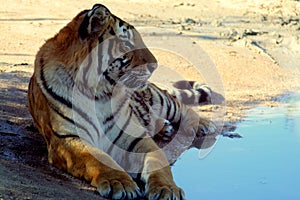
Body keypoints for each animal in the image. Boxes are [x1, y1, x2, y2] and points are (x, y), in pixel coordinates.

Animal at [27, 3, 216, 200]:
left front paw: (167, 188)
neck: (99, 94)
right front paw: (120, 184)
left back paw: (203, 124)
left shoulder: (135, 137)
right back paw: (165, 127)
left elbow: (159, 163)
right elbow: (99, 160)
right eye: (127, 44)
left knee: (182, 107)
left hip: (159, 99)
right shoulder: (68, 139)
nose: (155, 65)